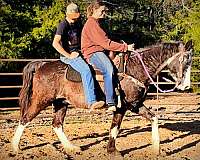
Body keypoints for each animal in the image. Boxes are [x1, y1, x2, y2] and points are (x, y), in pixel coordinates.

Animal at [11, 40, 192, 158]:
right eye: (184, 61)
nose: (186, 86)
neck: (134, 69)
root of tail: (41, 65)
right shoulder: (122, 106)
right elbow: (115, 128)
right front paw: (112, 151)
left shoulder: (135, 104)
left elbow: (154, 118)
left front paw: (156, 150)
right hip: (41, 100)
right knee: (25, 118)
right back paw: (15, 147)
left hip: (61, 102)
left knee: (57, 124)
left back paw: (71, 148)